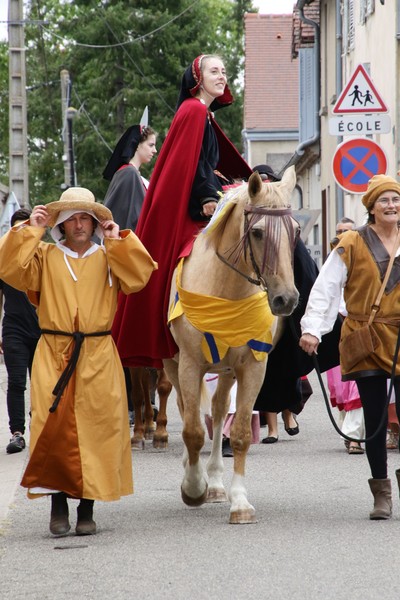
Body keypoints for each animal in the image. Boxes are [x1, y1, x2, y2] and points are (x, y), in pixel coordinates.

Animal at [163, 166, 300, 524]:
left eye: (295, 231)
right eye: (258, 232)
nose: (286, 299)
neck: (225, 291)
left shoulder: (252, 367)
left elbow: (238, 433)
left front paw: (239, 501)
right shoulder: (190, 364)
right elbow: (193, 431)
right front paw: (192, 487)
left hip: (224, 371)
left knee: (218, 408)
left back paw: (214, 482)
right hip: (173, 366)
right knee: (187, 411)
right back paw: (195, 474)